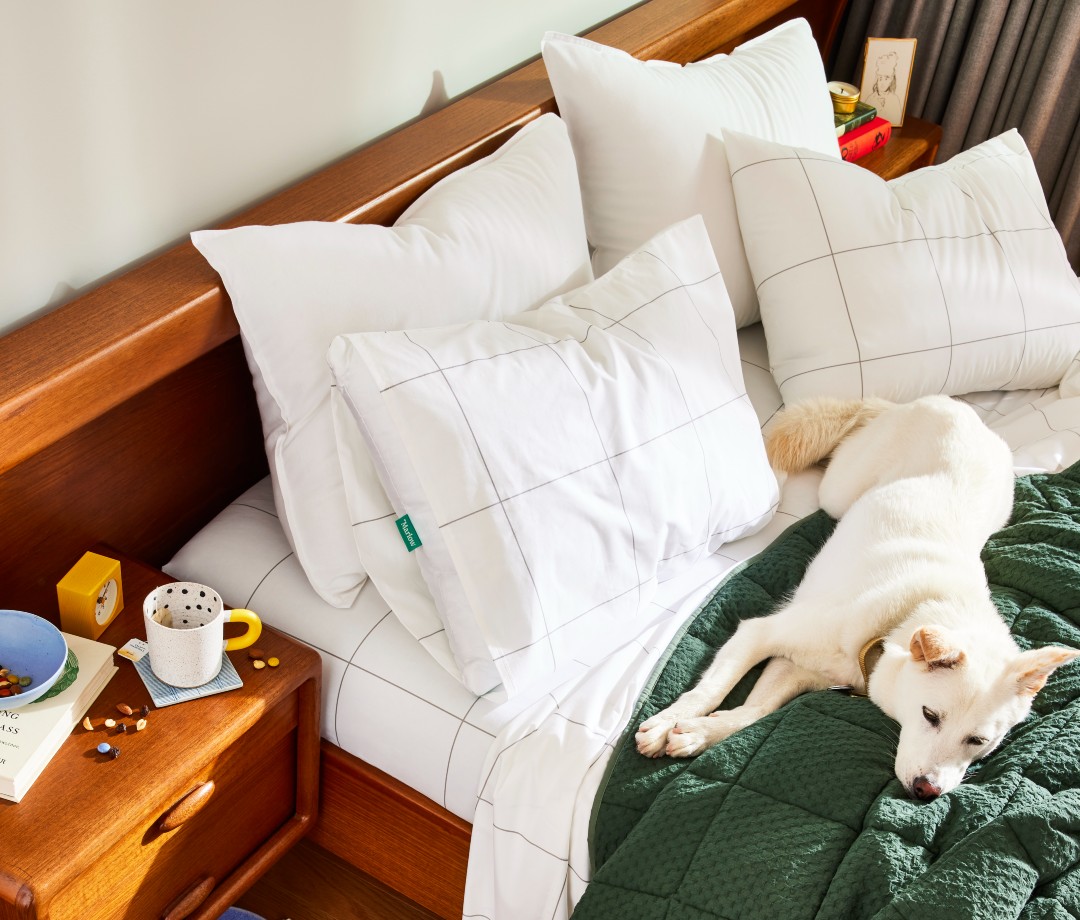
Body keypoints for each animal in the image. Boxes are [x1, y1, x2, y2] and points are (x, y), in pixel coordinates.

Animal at [630, 393, 1080, 799]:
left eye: (978, 741)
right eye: (929, 715)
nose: (926, 791)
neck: (897, 621)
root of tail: (948, 405)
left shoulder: (793, 668)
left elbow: (752, 712)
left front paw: (700, 733)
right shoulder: (759, 633)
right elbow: (711, 689)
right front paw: (670, 721)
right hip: (837, 490)